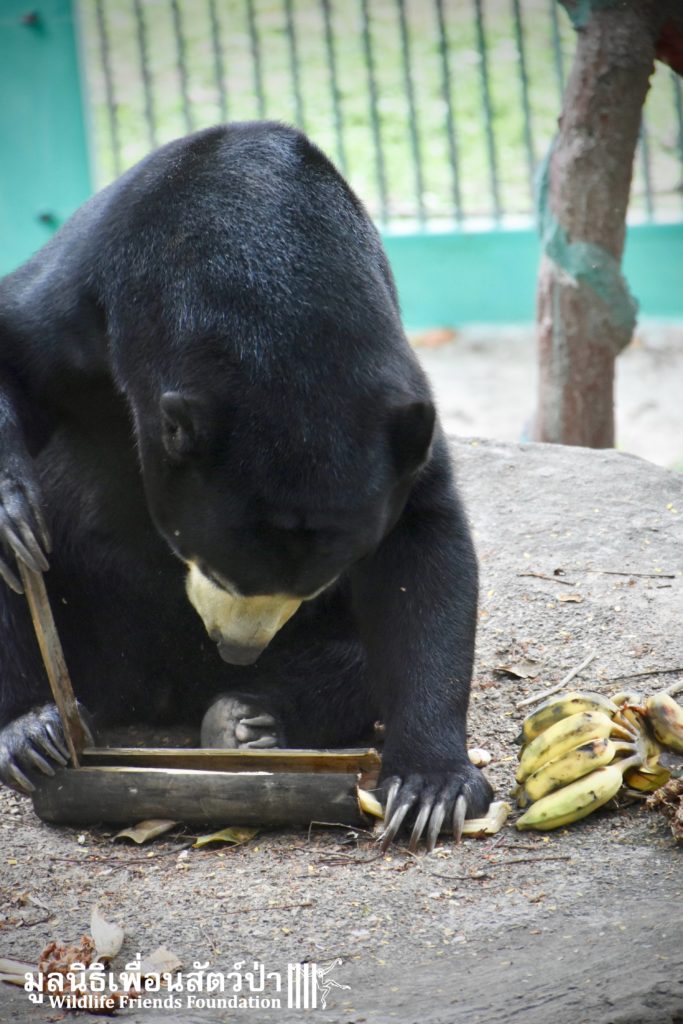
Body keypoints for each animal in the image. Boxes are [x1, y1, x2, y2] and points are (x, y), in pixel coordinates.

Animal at [0, 121, 492, 850]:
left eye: (316, 586)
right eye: (215, 569)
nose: (236, 651)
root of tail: (155, 688)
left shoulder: (394, 407)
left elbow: (423, 549)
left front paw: (430, 790)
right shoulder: (83, 294)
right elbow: (14, 344)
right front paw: (14, 516)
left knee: (353, 666)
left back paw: (247, 720)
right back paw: (34, 731)